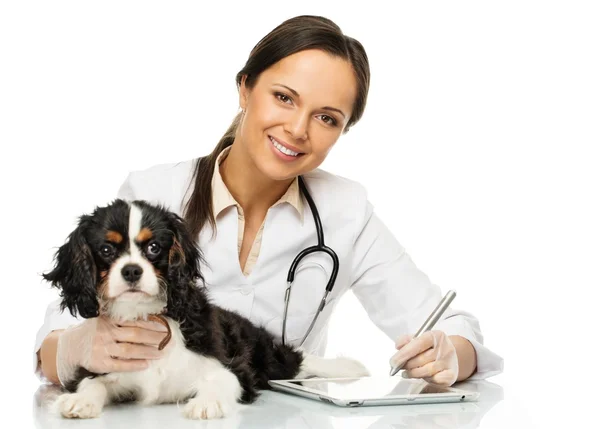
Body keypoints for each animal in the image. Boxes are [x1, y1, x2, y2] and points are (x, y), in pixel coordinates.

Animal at [41, 198, 370, 418]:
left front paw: (206, 402)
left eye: (154, 248)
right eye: (106, 250)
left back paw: (347, 367)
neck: (147, 315)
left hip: (265, 354)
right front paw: (79, 401)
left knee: (296, 360)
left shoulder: (234, 369)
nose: (132, 271)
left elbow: (222, 380)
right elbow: (92, 382)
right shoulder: (106, 365)